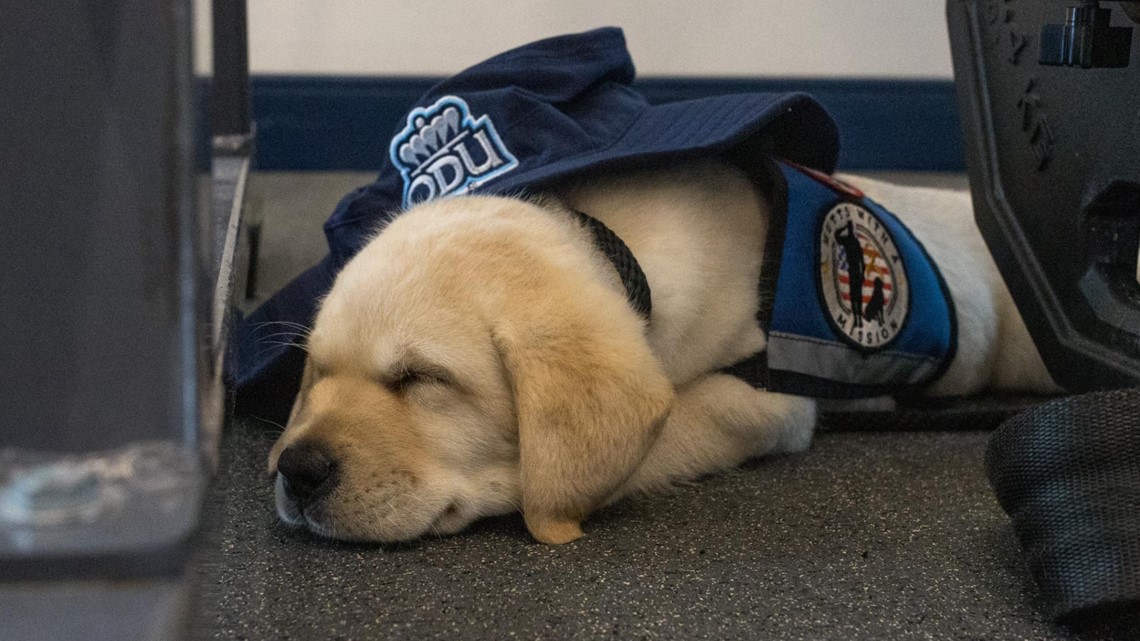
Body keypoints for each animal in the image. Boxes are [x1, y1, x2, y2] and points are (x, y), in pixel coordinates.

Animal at [266, 157, 1057, 540]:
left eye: (422, 377)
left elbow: (660, 434)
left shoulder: (765, 399)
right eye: (317, 372)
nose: (295, 471)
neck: (619, 242)